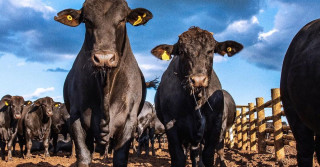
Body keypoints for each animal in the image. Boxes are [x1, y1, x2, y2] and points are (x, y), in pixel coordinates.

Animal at [54, 0, 154, 166]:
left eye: (122, 20)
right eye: (87, 20)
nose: (104, 58)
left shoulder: (129, 120)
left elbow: (120, 157)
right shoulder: (76, 117)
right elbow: (83, 156)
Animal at [151, 26, 241, 166]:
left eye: (211, 51)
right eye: (182, 52)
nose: (198, 80)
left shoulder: (215, 125)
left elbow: (208, 155)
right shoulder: (171, 125)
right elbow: (178, 156)